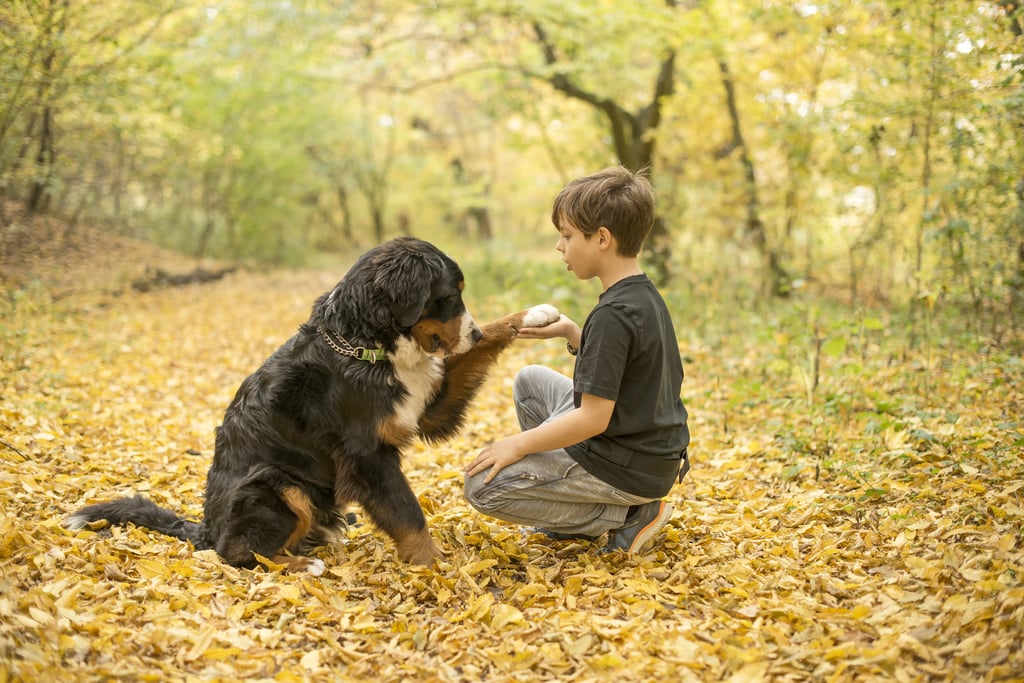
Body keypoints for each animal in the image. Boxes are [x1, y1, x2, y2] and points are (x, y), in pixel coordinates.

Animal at [64, 237, 561, 573]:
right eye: (449, 294)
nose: (469, 332)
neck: (363, 345)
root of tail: (205, 526)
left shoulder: (425, 407)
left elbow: (486, 341)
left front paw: (536, 314)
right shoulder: (368, 454)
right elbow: (409, 514)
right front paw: (435, 566)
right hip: (276, 483)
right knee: (237, 553)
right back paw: (303, 566)